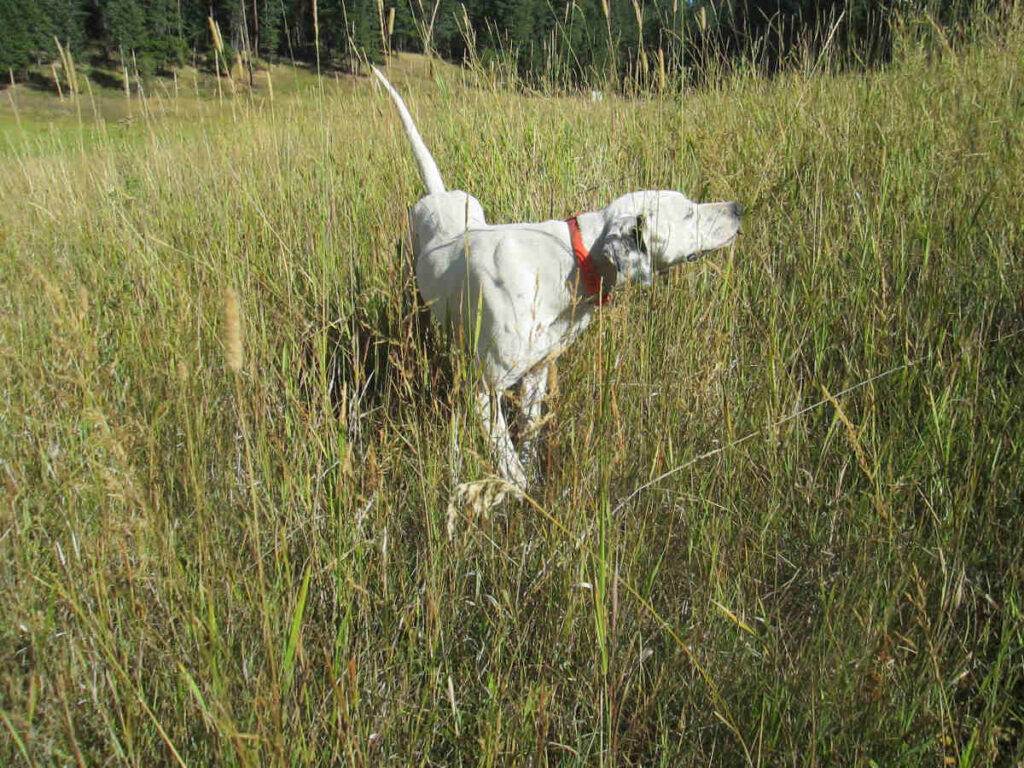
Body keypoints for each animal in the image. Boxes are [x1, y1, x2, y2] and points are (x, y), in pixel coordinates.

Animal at [372, 66, 741, 487]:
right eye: (687, 213)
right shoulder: (484, 388)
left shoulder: (535, 374)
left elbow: (529, 441)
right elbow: (510, 463)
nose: (738, 208)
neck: (574, 262)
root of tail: (439, 194)